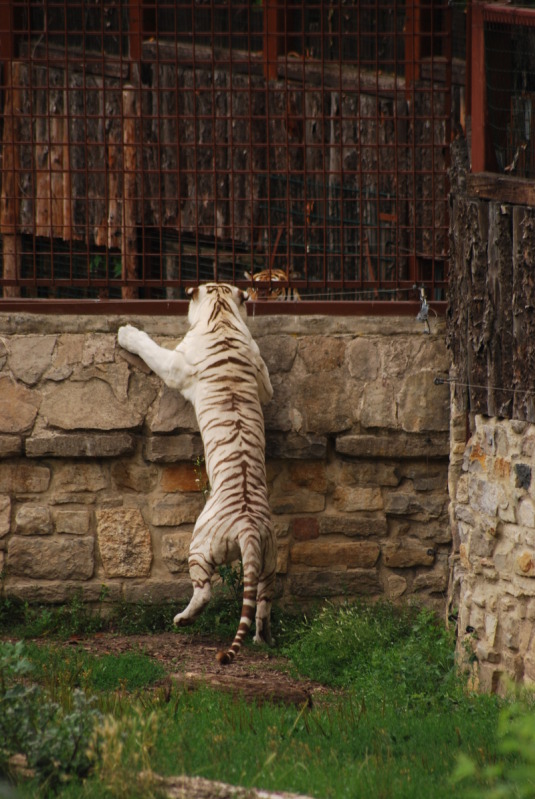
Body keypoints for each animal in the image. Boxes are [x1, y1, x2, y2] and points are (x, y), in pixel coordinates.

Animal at [117, 283, 276, 664]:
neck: (222, 315)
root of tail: (249, 527)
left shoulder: (175, 363)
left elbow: (151, 349)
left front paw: (126, 333)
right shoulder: (263, 378)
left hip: (199, 546)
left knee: (204, 592)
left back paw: (182, 620)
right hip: (268, 561)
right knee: (262, 602)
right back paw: (261, 639)